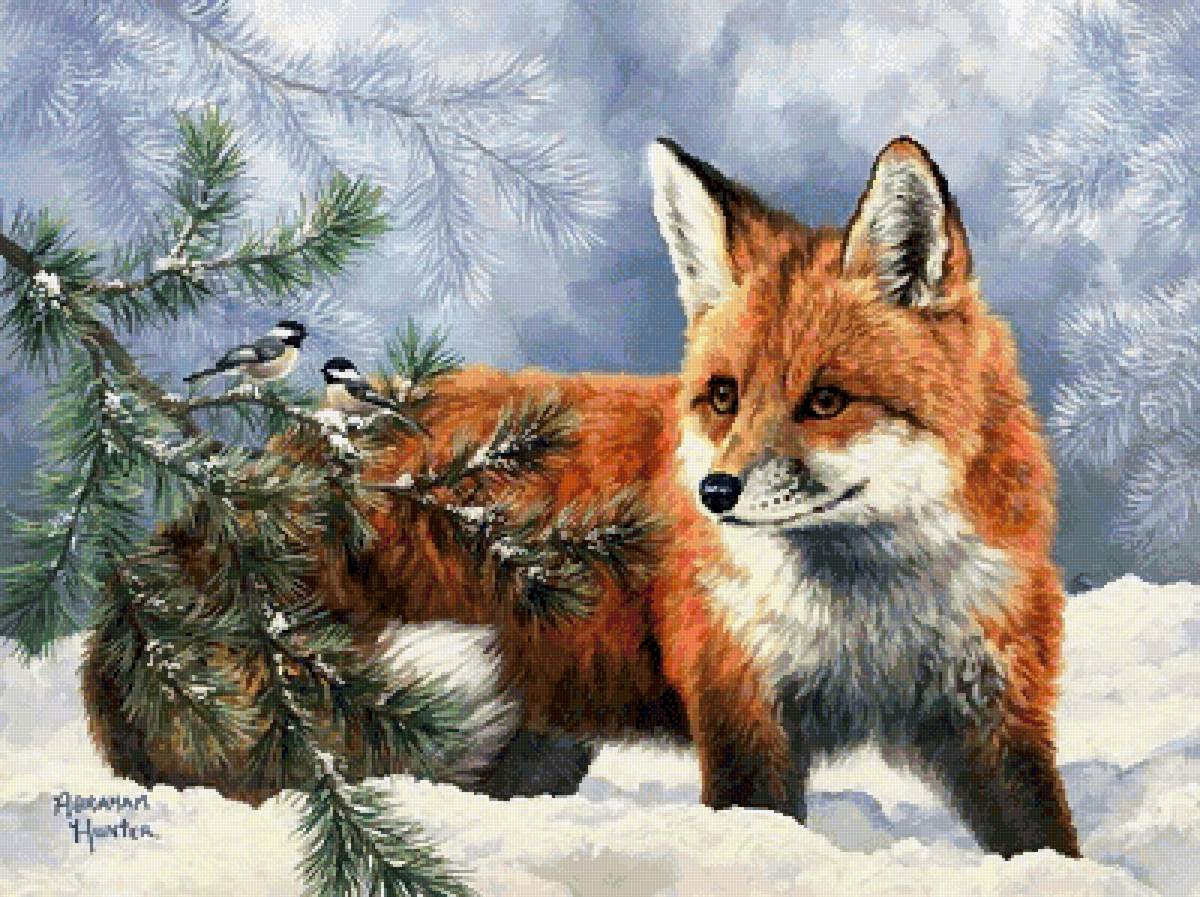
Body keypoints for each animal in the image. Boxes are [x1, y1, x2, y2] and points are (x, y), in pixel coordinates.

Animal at [82, 135, 1079, 858]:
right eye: (724, 395)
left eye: (826, 400)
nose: (715, 492)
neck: (869, 615)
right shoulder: (740, 706)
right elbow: (757, 819)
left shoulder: (993, 712)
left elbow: (1046, 840)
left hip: (536, 744)